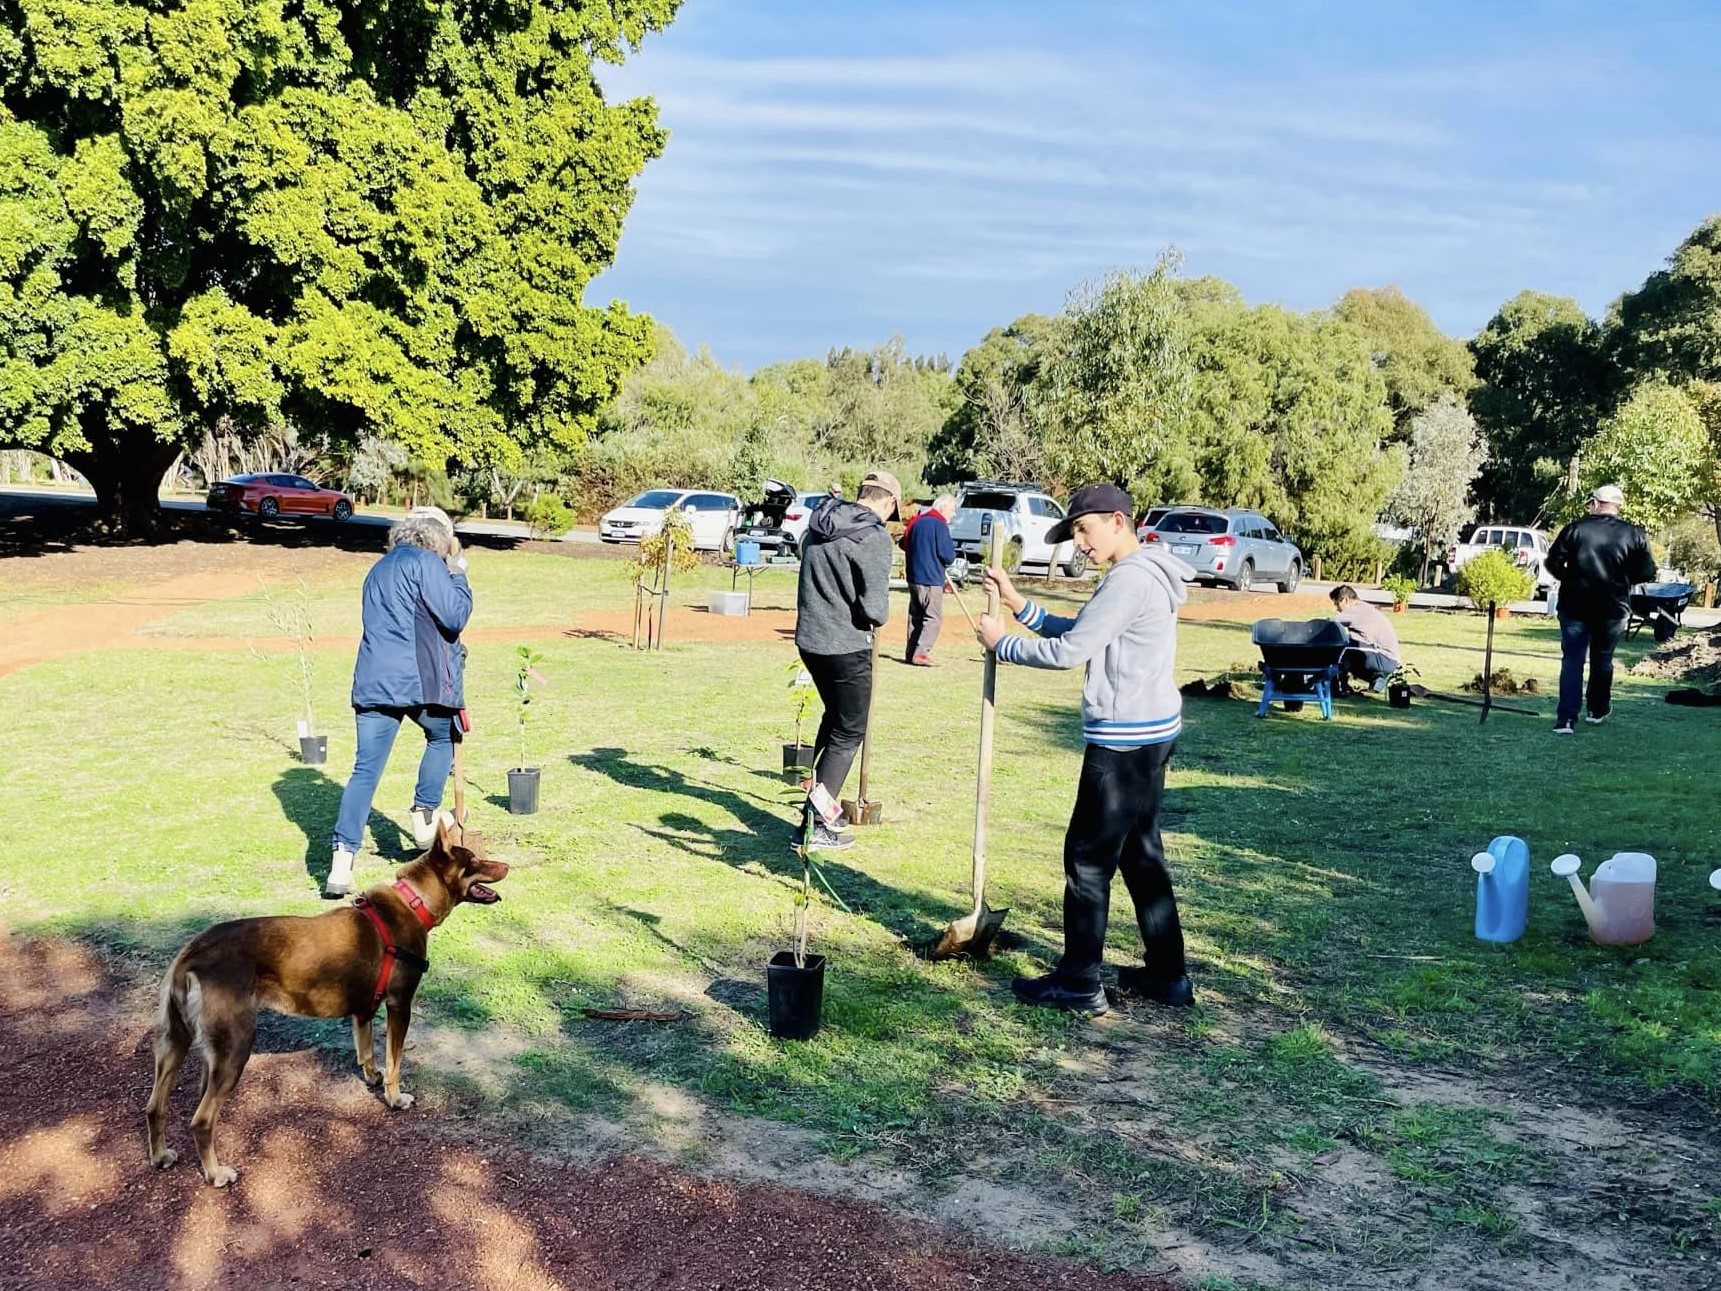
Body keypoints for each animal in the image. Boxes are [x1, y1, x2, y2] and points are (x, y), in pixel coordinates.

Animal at [144, 822, 505, 1191]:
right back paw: (216, 1172)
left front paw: (371, 1077)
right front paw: (395, 1098)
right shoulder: (399, 1004)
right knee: (201, 1120)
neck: (413, 901)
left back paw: (160, 1155)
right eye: (474, 860)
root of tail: (190, 956)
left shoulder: (363, 1008)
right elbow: (395, 1062)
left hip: (176, 1043)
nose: (507, 866)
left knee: (154, 1106)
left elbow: (366, 1050)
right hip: (234, 1048)